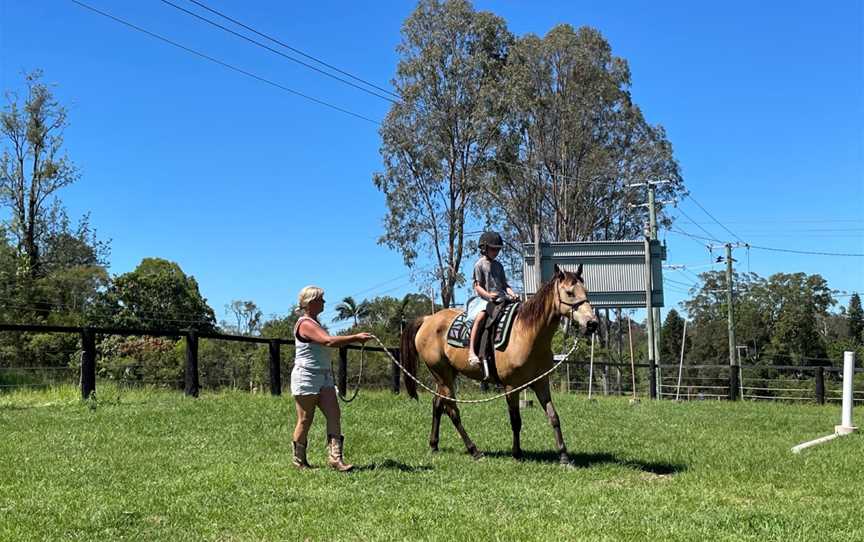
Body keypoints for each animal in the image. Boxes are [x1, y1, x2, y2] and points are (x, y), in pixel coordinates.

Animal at [400, 264, 596, 464]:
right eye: (569, 292)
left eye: (585, 291)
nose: (592, 323)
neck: (526, 334)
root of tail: (427, 320)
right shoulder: (511, 387)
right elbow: (516, 420)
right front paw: (517, 453)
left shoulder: (541, 383)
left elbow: (554, 416)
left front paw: (564, 456)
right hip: (442, 375)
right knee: (453, 411)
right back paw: (474, 450)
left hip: (446, 375)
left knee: (438, 405)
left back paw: (434, 445)